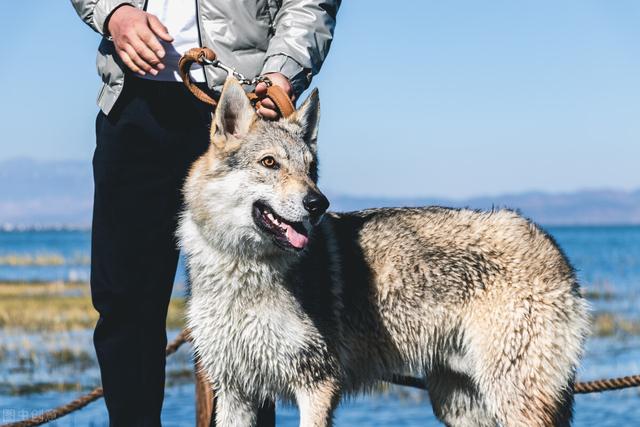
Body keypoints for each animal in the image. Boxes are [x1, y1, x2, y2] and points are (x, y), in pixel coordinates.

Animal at [178, 78, 588, 426]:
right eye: (269, 163)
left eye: (310, 169)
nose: (318, 204)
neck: (244, 268)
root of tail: (554, 247)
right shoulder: (235, 392)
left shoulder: (317, 384)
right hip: (457, 402)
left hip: (509, 399)